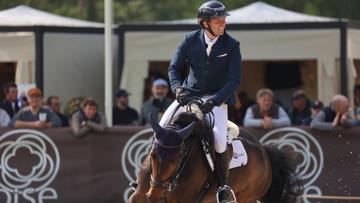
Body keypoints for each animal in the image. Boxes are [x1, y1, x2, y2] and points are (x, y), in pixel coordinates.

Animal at [128, 111, 302, 203]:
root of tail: (264, 152)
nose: (154, 196)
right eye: (152, 154)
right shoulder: (139, 197)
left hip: (247, 197)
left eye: (178, 158)